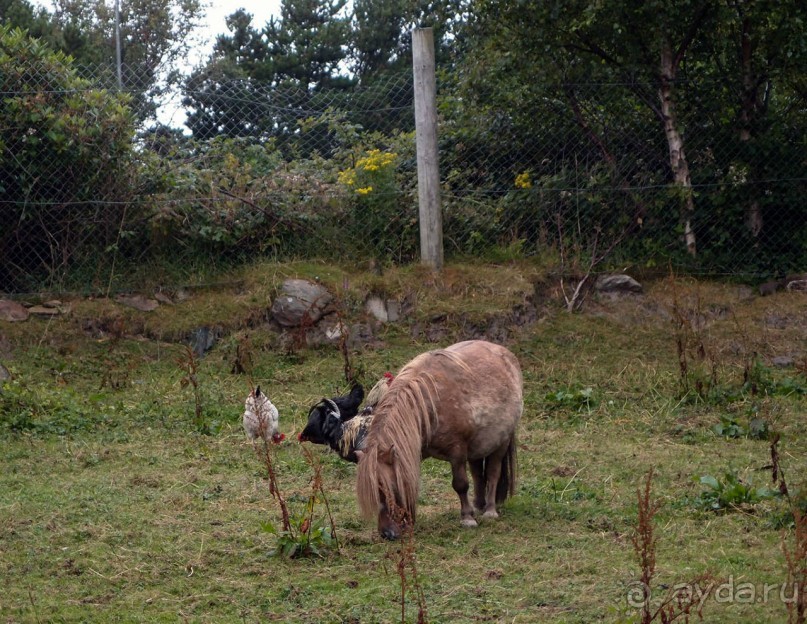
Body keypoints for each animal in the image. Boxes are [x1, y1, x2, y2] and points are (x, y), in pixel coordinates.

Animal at [356, 338, 520, 540]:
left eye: (388, 486)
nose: (387, 533)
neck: (429, 403)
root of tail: (505, 353)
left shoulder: (457, 452)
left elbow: (460, 484)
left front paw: (467, 518)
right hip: (477, 447)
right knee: (477, 475)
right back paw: (478, 505)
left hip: (500, 443)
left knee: (493, 473)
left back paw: (489, 510)